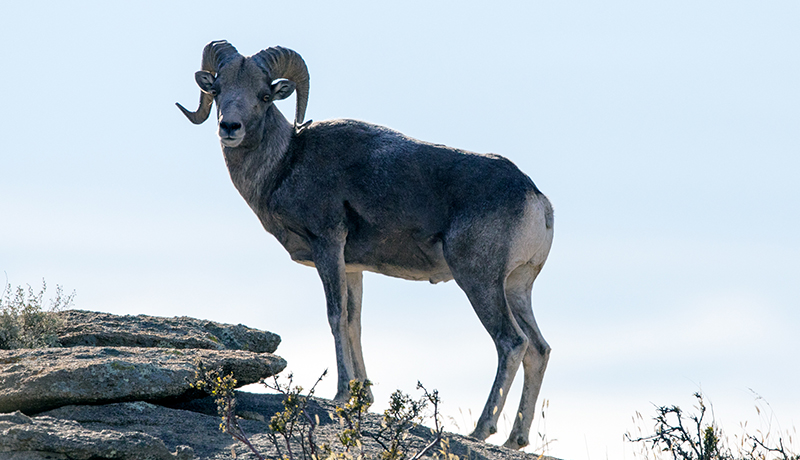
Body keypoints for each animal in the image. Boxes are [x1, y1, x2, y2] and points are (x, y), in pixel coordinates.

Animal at [177, 40, 554, 450]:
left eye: (263, 95)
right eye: (217, 90)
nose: (230, 127)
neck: (284, 164)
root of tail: (535, 198)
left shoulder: (328, 245)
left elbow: (335, 316)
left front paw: (342, 392)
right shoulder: (353, 267)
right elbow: (354, 321)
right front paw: (364, 395)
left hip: (479, 281)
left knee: (511, 343)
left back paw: (481, 430)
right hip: (517, 287)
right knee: (538, 349)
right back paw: (515, 439)